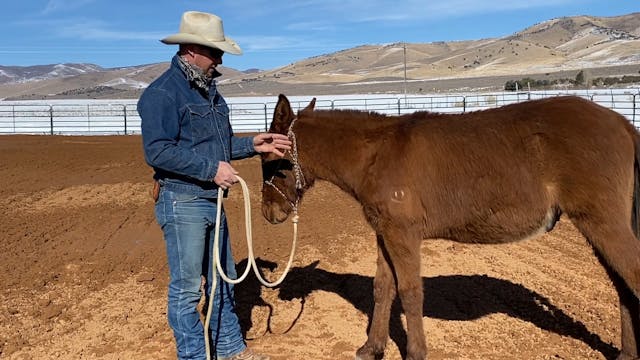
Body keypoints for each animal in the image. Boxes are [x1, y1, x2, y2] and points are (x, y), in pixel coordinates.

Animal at [258, 93, 640, 360]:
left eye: (272, 161)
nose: (268, 213)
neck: (375, 155)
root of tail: (620, 122)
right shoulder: (384, 234)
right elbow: (383, 289)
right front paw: (371, 348)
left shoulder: (403, 235)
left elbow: (411, 293)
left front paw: (415, 352)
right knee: (623, 287)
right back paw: (626, 353)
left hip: (602, 223)